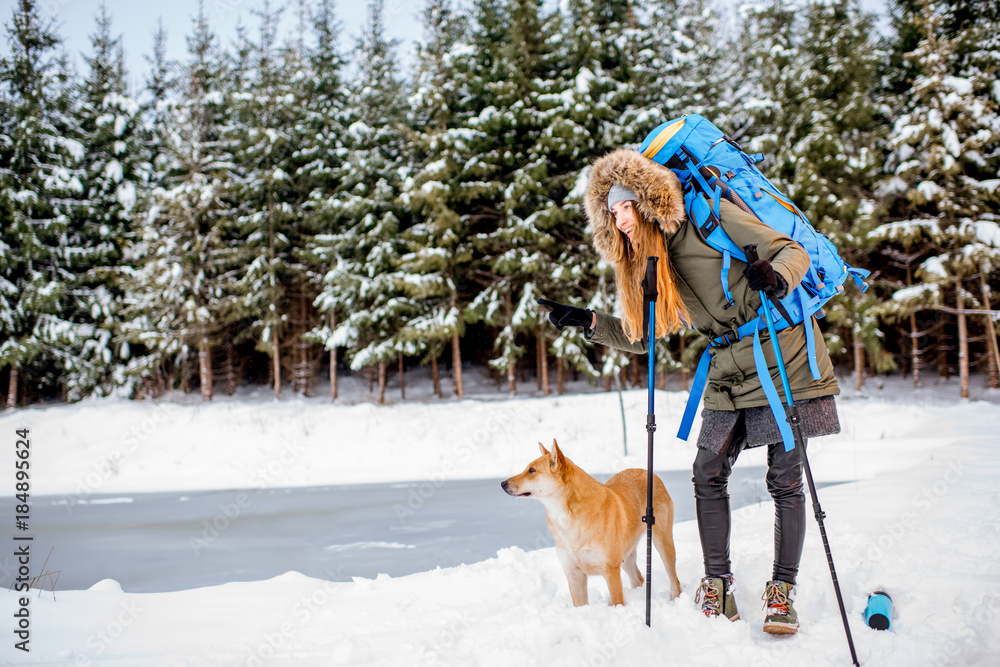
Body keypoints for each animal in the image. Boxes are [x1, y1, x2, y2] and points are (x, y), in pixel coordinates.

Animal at [500, 440, 680, 608]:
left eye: (532, 470)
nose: (502, 484)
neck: (567, 518)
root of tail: (647, 472)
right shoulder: (574, 575)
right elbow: (580, 605)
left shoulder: (611, 571)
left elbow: (617, 601)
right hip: (626, 556)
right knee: (638, 578)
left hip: (662, 543)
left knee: (674, 580)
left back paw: (675, 599)